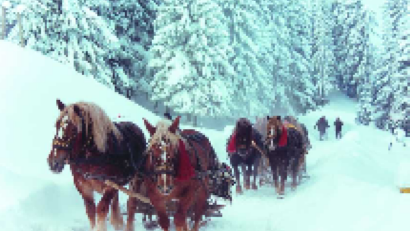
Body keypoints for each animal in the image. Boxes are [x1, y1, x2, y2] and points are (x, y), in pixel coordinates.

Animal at [47, 99, 147, 231]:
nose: (53, 162)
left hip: (136, 179)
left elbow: (101, 208)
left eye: (73, 130)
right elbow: (90, 211)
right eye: (57, 125)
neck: (93, 157)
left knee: (131, 205)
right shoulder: (83, 186)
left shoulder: (111, 185)